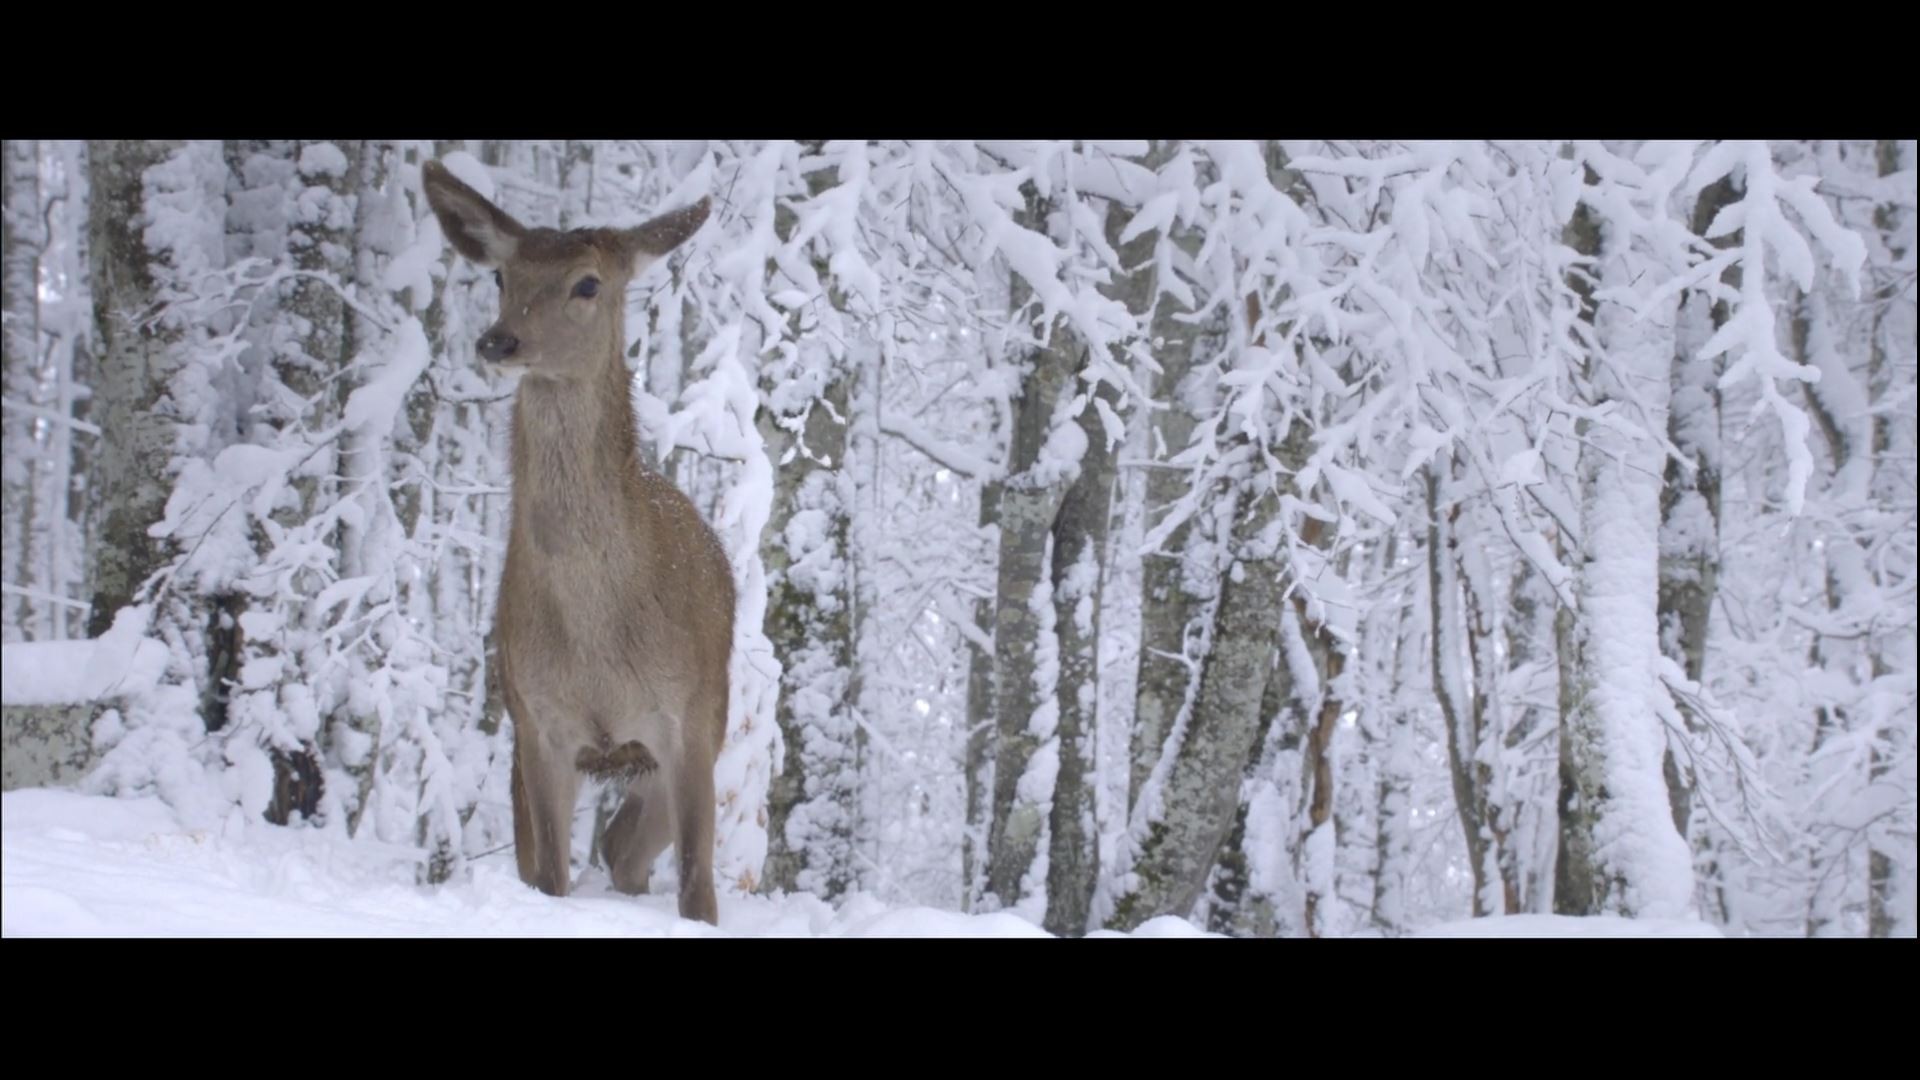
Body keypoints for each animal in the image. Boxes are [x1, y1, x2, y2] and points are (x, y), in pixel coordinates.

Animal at [424, 155, 729, 922]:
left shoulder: (686, 722)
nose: (498, 340)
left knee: (629, 850)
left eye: (588, 283)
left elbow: (699, 889)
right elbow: (549, 880)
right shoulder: (538, 722)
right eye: (500, 277)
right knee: (610, 849)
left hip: (707, 722)